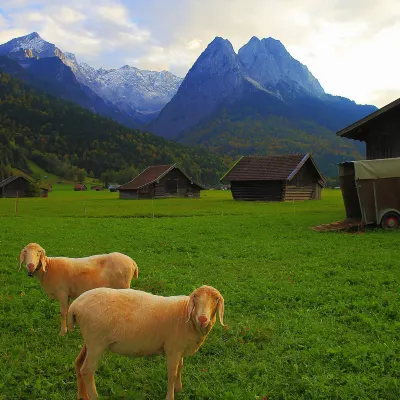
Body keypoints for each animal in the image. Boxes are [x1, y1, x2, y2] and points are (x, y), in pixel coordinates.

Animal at [68, 284, 225, 400]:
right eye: (195, 297)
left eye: (216, 299)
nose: (203, 318)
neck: (188, 318)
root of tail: (75, 305)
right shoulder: (173, 349)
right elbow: (172, 374)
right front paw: (170, 396)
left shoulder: (179, 348)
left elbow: (180, 367)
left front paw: (179, 389)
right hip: (97, 342)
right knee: (87, 370)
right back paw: (94, 396)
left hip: (90, 341)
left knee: (79, 363)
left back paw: (82, 395)